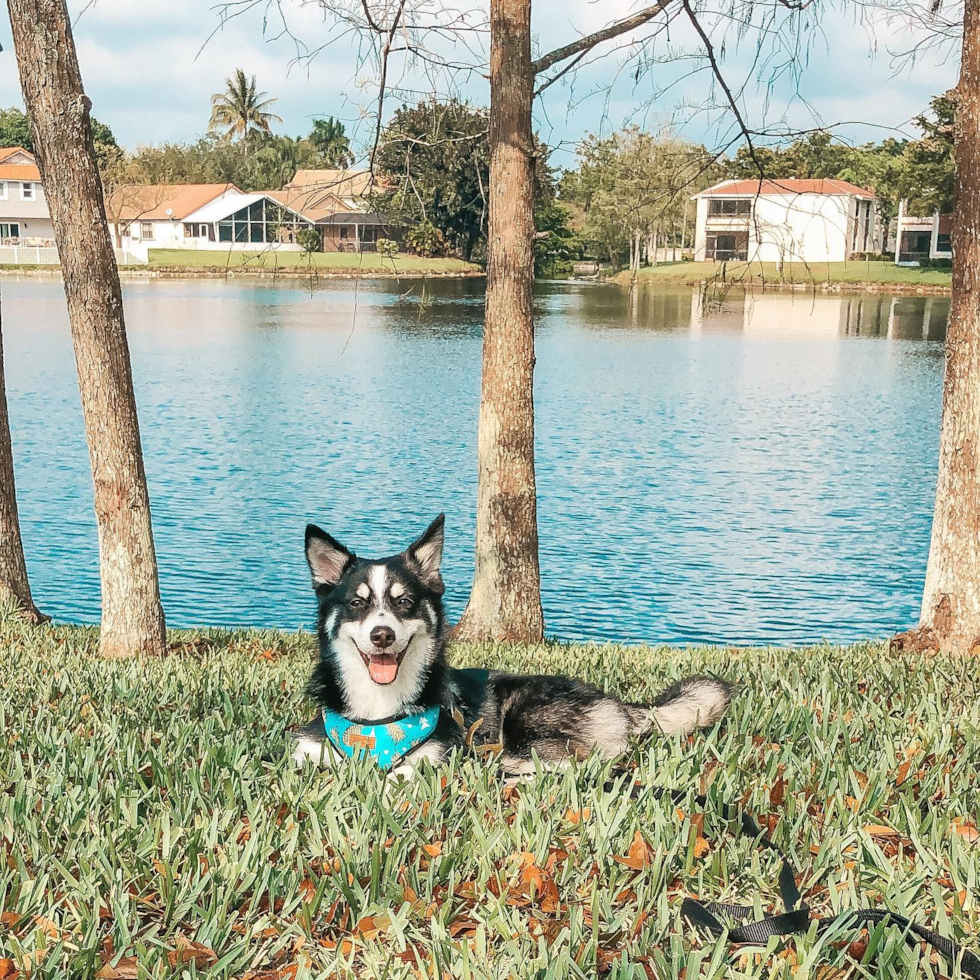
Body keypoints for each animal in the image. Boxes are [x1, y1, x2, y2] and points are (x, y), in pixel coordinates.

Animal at [292, 512, 736, 780]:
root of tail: (620, 704)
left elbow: (396, 778)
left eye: (405, 602)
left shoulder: (437, 758)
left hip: (527, 722)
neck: (377, 718)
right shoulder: (305, 753)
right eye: (357, 604)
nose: (381, 635)